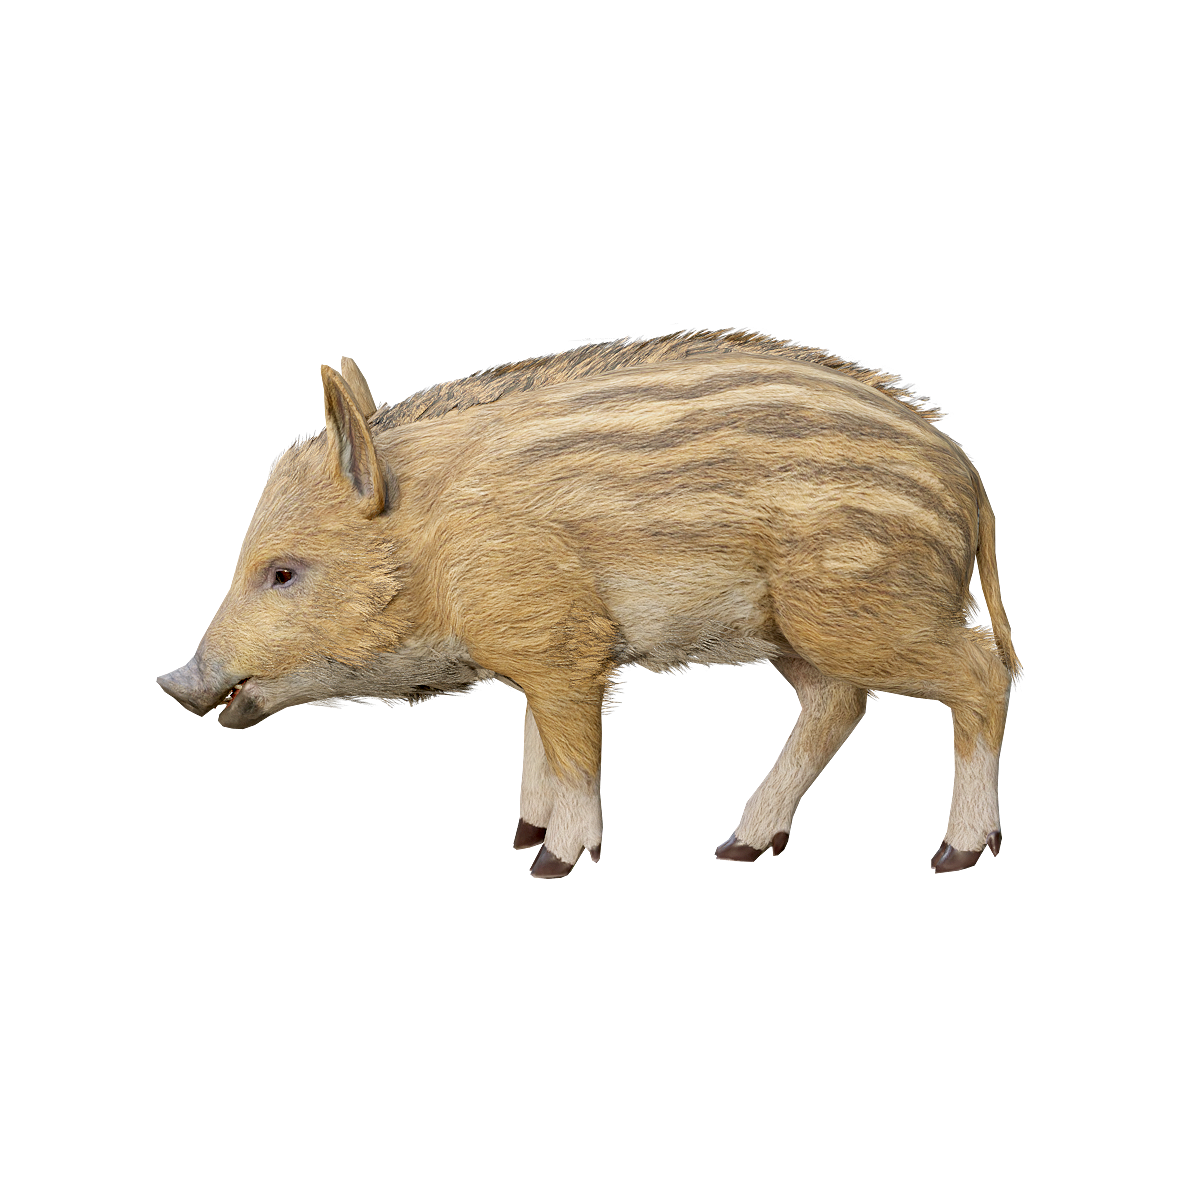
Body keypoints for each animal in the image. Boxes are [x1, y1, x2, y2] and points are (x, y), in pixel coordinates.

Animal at [158, 329, 1022, 878]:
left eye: (283, 573)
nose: (192, 685)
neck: (436, 545)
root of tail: (967, 475)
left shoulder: (564, 643)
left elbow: (571, 752)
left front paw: (550, 860)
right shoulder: (539, 652)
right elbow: (538, 743)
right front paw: (519, 841)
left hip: (859, 608)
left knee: (979, 671)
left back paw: (955, 855)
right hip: (794, 630)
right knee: (835, 703)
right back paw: (741, 847)